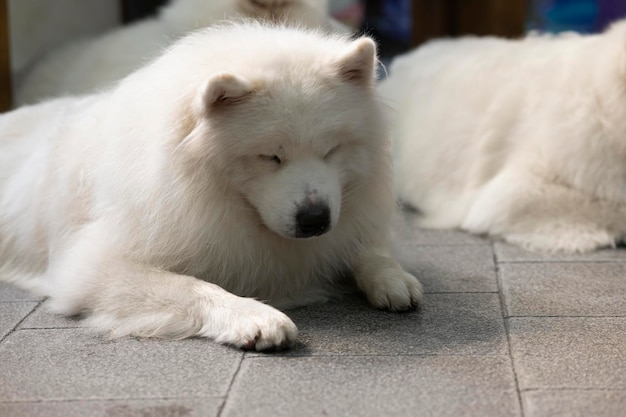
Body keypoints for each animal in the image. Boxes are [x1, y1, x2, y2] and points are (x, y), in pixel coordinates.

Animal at [2, 22, 422, 348]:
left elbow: (367, 249)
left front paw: (392, 277)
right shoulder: (93, 266)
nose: (315, 219)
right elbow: (192, 286)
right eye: (270, 156)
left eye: (331, 150)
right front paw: (254, 316)